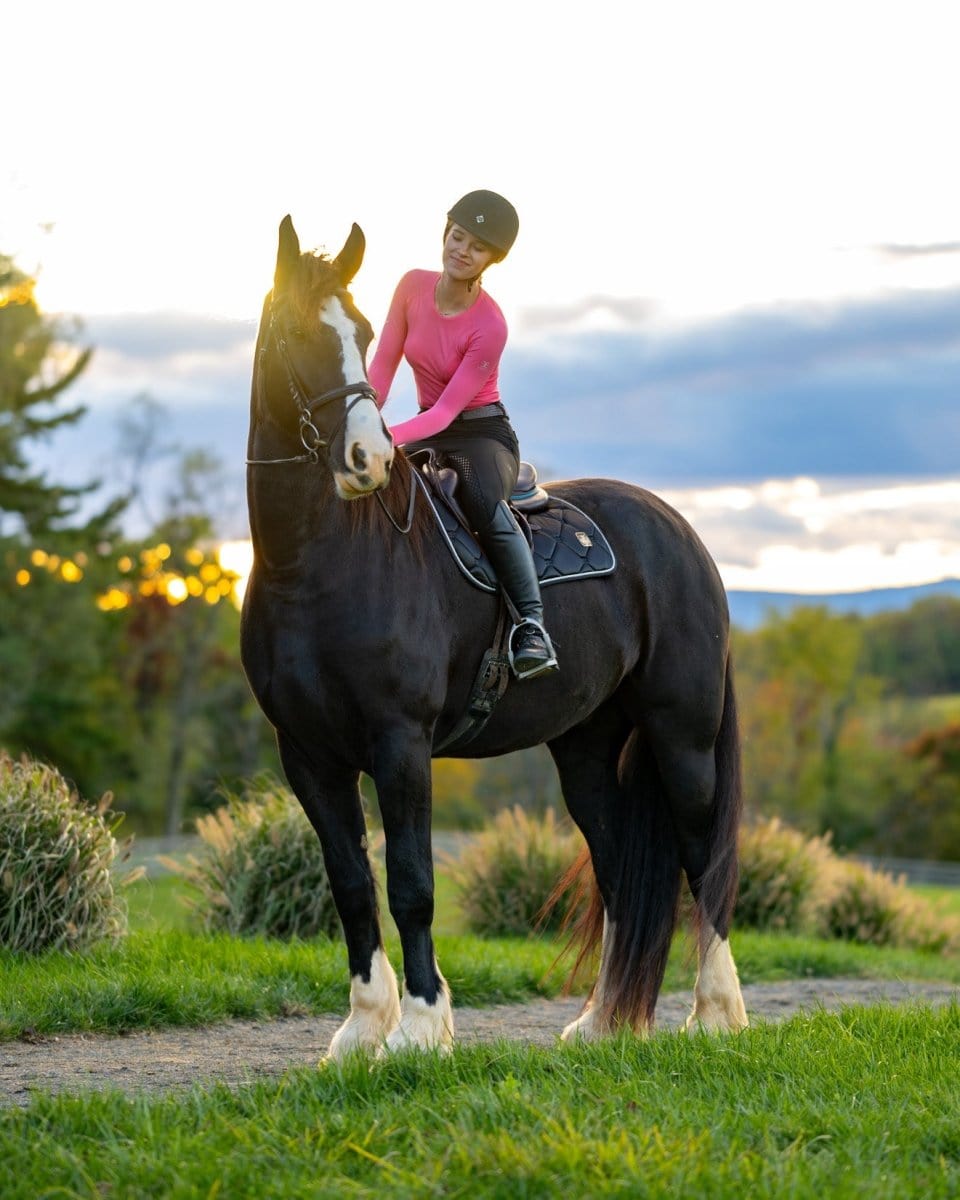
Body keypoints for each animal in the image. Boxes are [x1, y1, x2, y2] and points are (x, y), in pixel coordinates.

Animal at [240, 218, 748, 1060]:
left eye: (363, 333)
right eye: (293, 332)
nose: (368, 460)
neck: (315, 565)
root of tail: (677, 530)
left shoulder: (400, 744)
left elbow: (412, 883)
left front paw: (419, 1027)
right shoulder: (306, 756)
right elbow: (351, 884)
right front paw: (360, 1030)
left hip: (684, 737)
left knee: (701, 855)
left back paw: (716, 1013)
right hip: (586, 752)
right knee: (619, 870)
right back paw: (600, 1023)